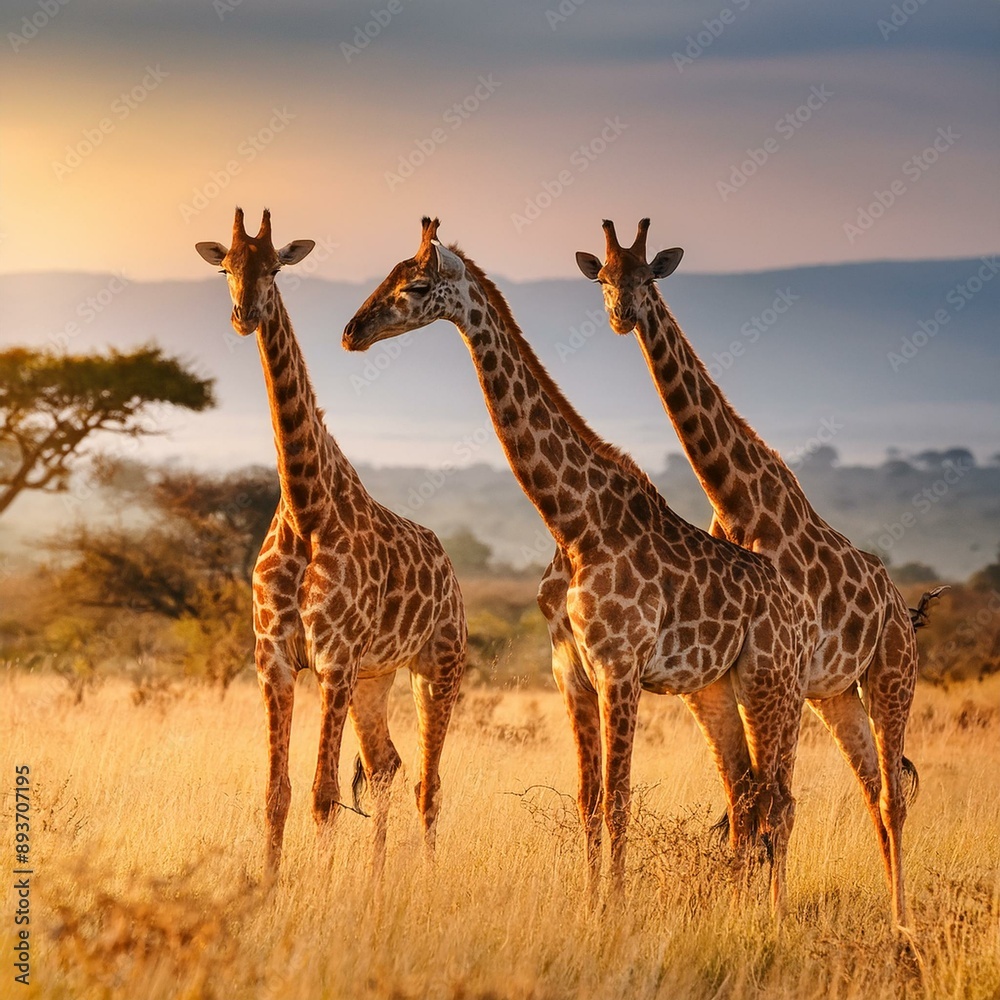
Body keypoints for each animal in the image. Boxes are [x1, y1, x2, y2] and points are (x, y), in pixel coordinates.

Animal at [195, 208, 467, 875]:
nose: (244, 314)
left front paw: (318, 885)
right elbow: (277, 792)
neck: (305, 506)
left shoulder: (334, 659)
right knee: (387, 766)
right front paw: (268, 884)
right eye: (225, 267)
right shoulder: (274, 659)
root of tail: (451, 569)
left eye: (274, 267)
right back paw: (375, 877)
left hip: (437, 666)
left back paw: (423, 874)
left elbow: (321, 795)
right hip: (377, 678)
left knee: (427, 780)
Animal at [343, 218, 812, 913]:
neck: (572, 522)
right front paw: (592, 903)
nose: (352, 331)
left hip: (770, 680)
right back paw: (740, 902)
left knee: (778, 799)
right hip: (717, 687)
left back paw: (772, 912)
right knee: (746, 792)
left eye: (417, 286)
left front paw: (612, 910)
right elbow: (590, 800)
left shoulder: (620, 667)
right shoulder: (570, 669)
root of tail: (797, 609)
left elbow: (618, 802)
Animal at [577, 217, 921, 927]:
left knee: (891, 795)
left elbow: (773, 804)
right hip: (834, 695)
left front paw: (771, 914)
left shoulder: (775, 666)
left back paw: (902, 919)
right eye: (603, 279)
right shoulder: (745, 673)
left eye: (648, 276)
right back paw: (888, 905)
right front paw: (753, 907)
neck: (739, 501)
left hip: (889, 677)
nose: (624, 316)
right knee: (872, 788)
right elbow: (749, 800)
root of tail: (903, 608)